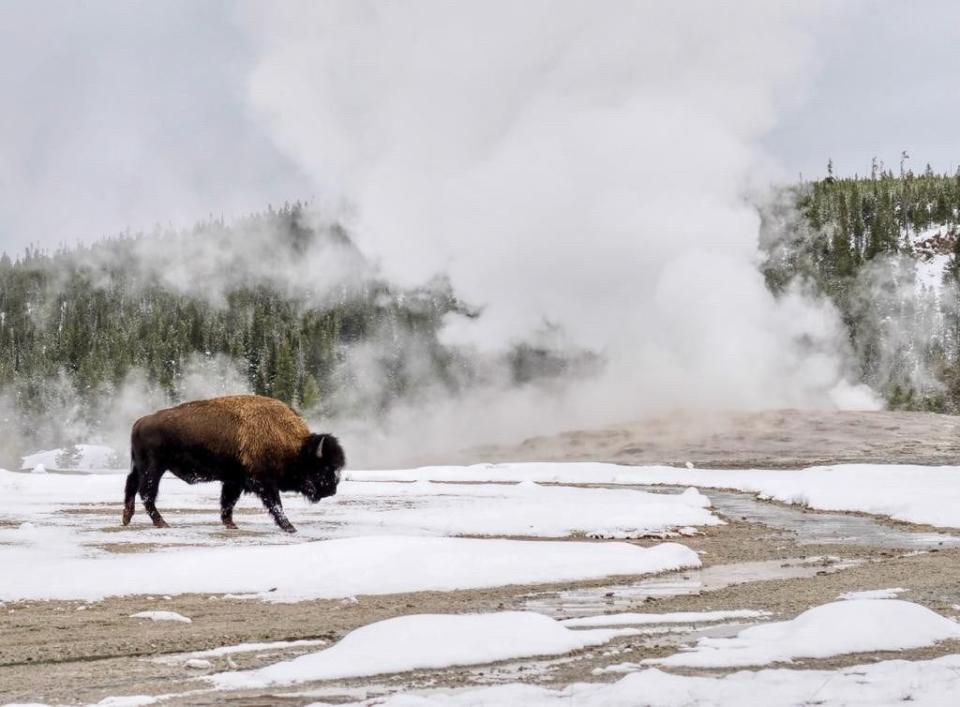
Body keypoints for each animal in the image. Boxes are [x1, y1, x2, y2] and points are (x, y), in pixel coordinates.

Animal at [121, 396, 344, 532]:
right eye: (324, 467)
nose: (332, 489)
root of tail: (140, 422)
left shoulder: (234, 480)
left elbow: (228, 502)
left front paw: (230, 524)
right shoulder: (264, 482)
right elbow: (276, 505)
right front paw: (290, 527)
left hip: (141, 467)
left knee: (131, 485)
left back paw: (126, 519)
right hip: (154, 468)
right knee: (146, 493)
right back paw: (162, 523)